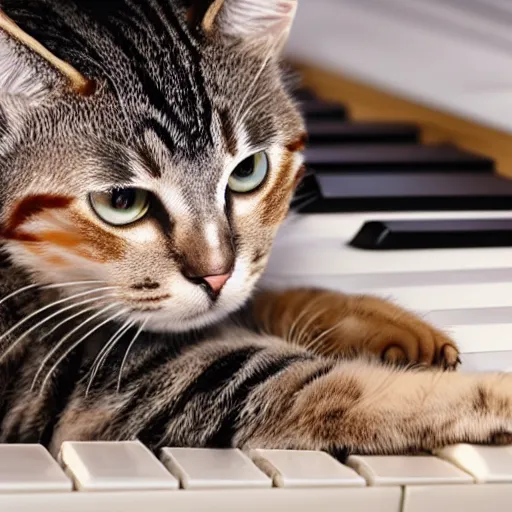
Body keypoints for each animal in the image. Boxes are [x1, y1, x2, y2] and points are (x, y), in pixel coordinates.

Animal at [0, 0, 510, 460]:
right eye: (121, 202)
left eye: (249, 170)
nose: (216, 276)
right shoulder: (104, 387)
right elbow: (314, 385)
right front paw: (498, 393)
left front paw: (370, 319)